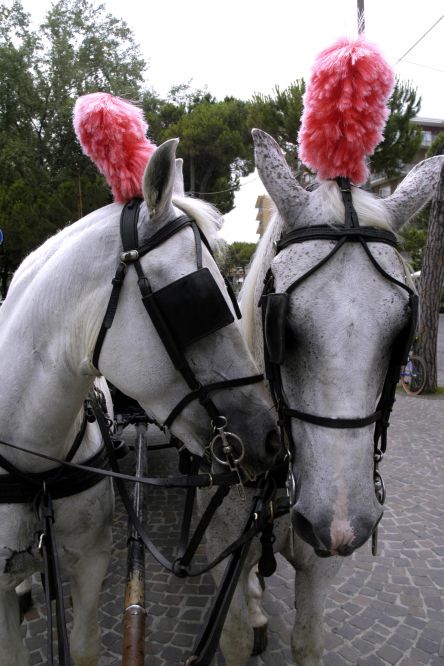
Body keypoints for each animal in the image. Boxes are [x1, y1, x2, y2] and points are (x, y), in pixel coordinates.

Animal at [202, 130, 444, 664]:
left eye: (402, 331)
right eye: (282, 327)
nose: (341, 525)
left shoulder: (319, 563)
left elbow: (308, 640)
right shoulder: (220, 552)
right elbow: (232, 637)